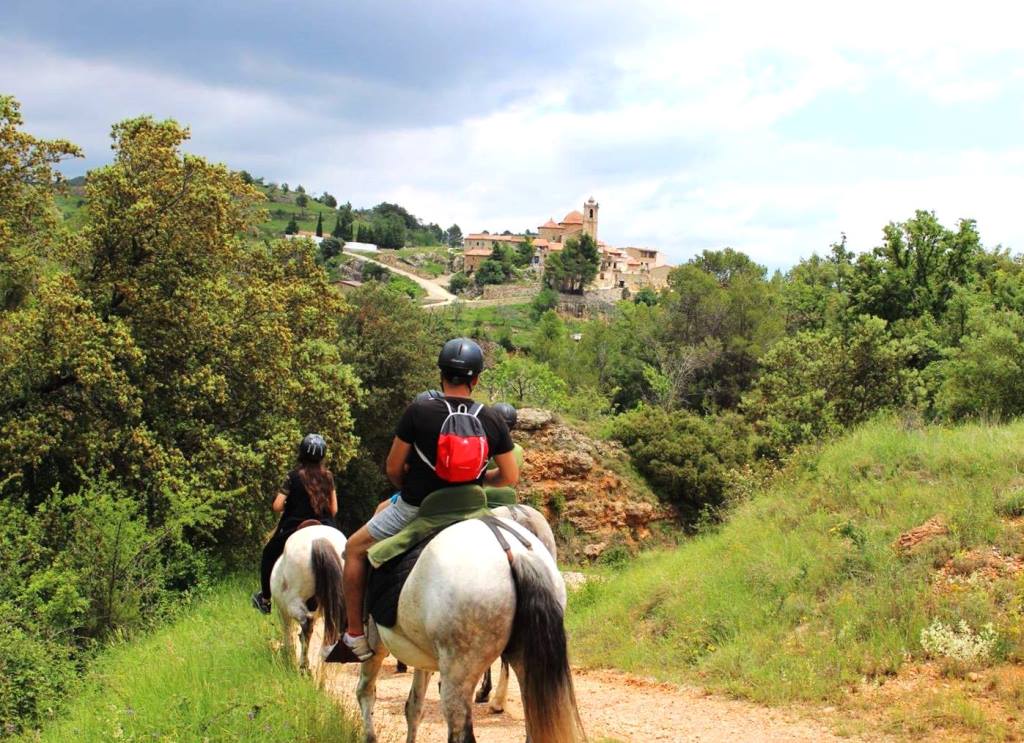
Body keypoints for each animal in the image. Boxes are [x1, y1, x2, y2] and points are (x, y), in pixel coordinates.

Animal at [270, 523, 346, 675]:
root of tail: (319, 541)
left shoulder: (283, 611)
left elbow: (288, 632)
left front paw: (288, 657)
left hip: (293, 604)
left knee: (306, 628)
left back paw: (304, 666)